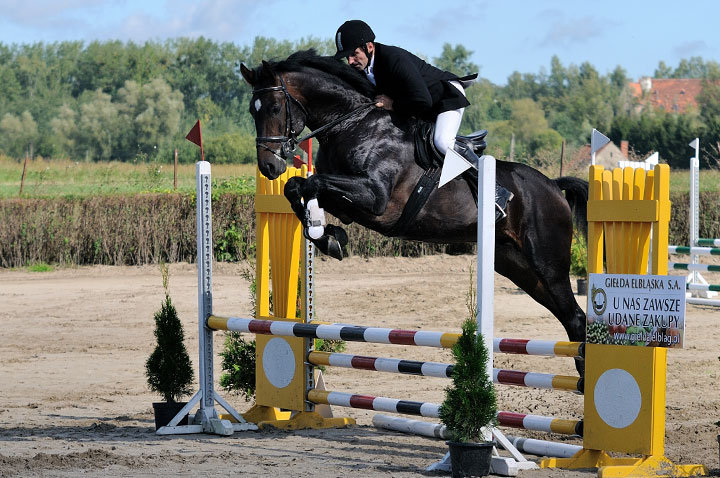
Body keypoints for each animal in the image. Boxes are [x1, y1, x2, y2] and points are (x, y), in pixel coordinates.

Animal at [242, 49, 592, 354]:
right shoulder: (349, 203)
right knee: (570, 319)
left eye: (274, 107)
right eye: (251, 110)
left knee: (576, 317)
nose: (269, 167)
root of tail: (554, 186)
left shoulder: (375, 199)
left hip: (547, 263)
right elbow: (298, 187)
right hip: (517, 266)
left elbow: (313, 182)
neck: (352, 124)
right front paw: (326, 235)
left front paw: (325, 235)